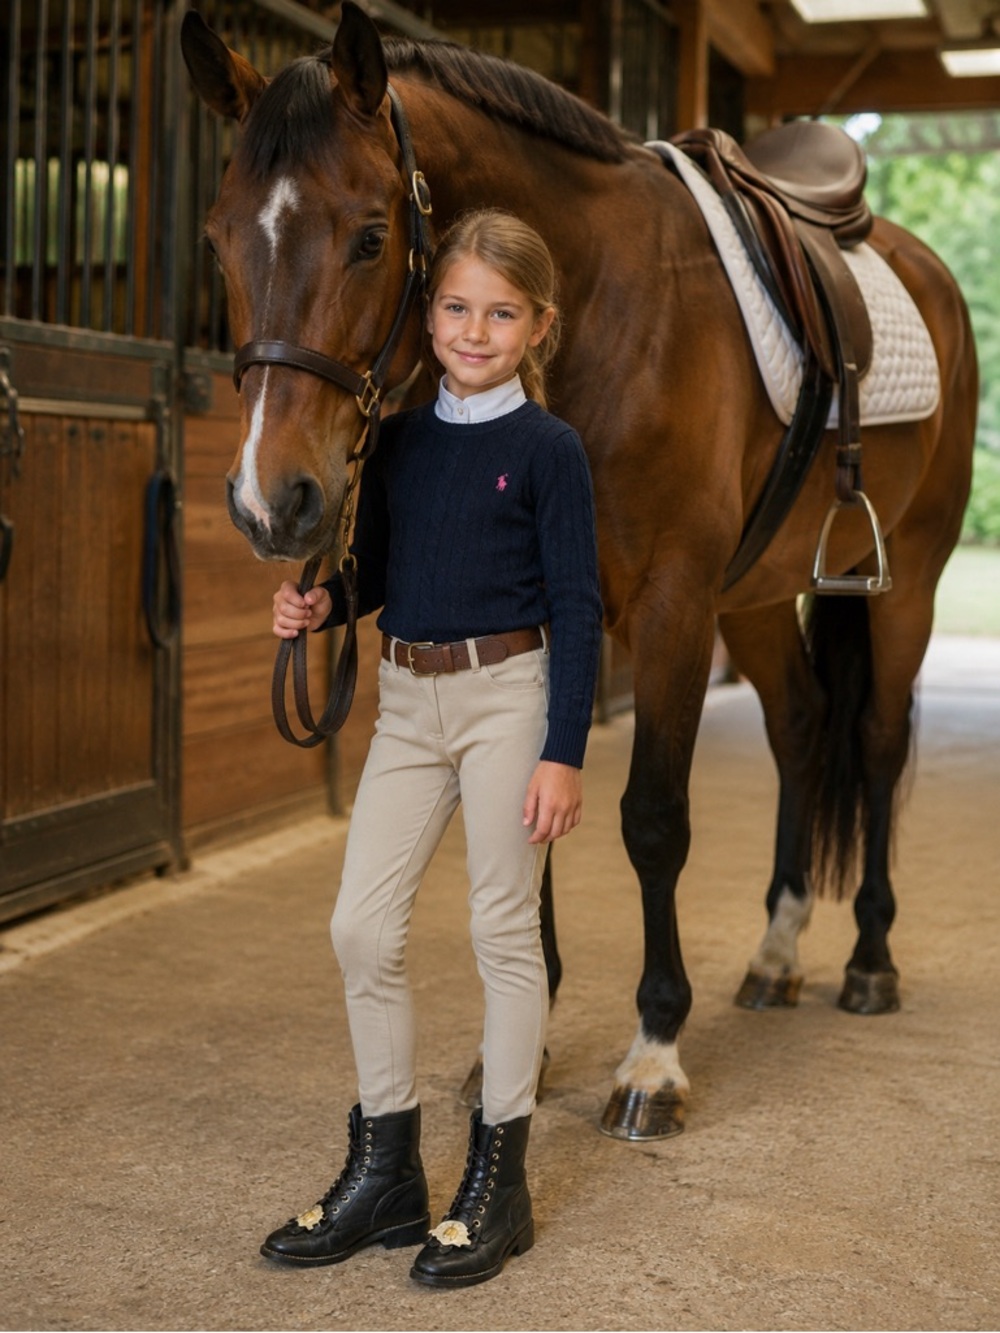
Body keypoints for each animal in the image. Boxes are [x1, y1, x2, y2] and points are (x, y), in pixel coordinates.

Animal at [181, 3, 977, 1141]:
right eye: (218, 239)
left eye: (371, 234)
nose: (268, 501)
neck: (599, 307)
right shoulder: (560, 615)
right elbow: (526, 823)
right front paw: (520, 1045)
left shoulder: (675, 605)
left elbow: (651, 820)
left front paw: (653, 1055)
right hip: (758, 601)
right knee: (799, 730)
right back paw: (776, 953)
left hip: (903, 577)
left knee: (869, 742)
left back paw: (869, 959)